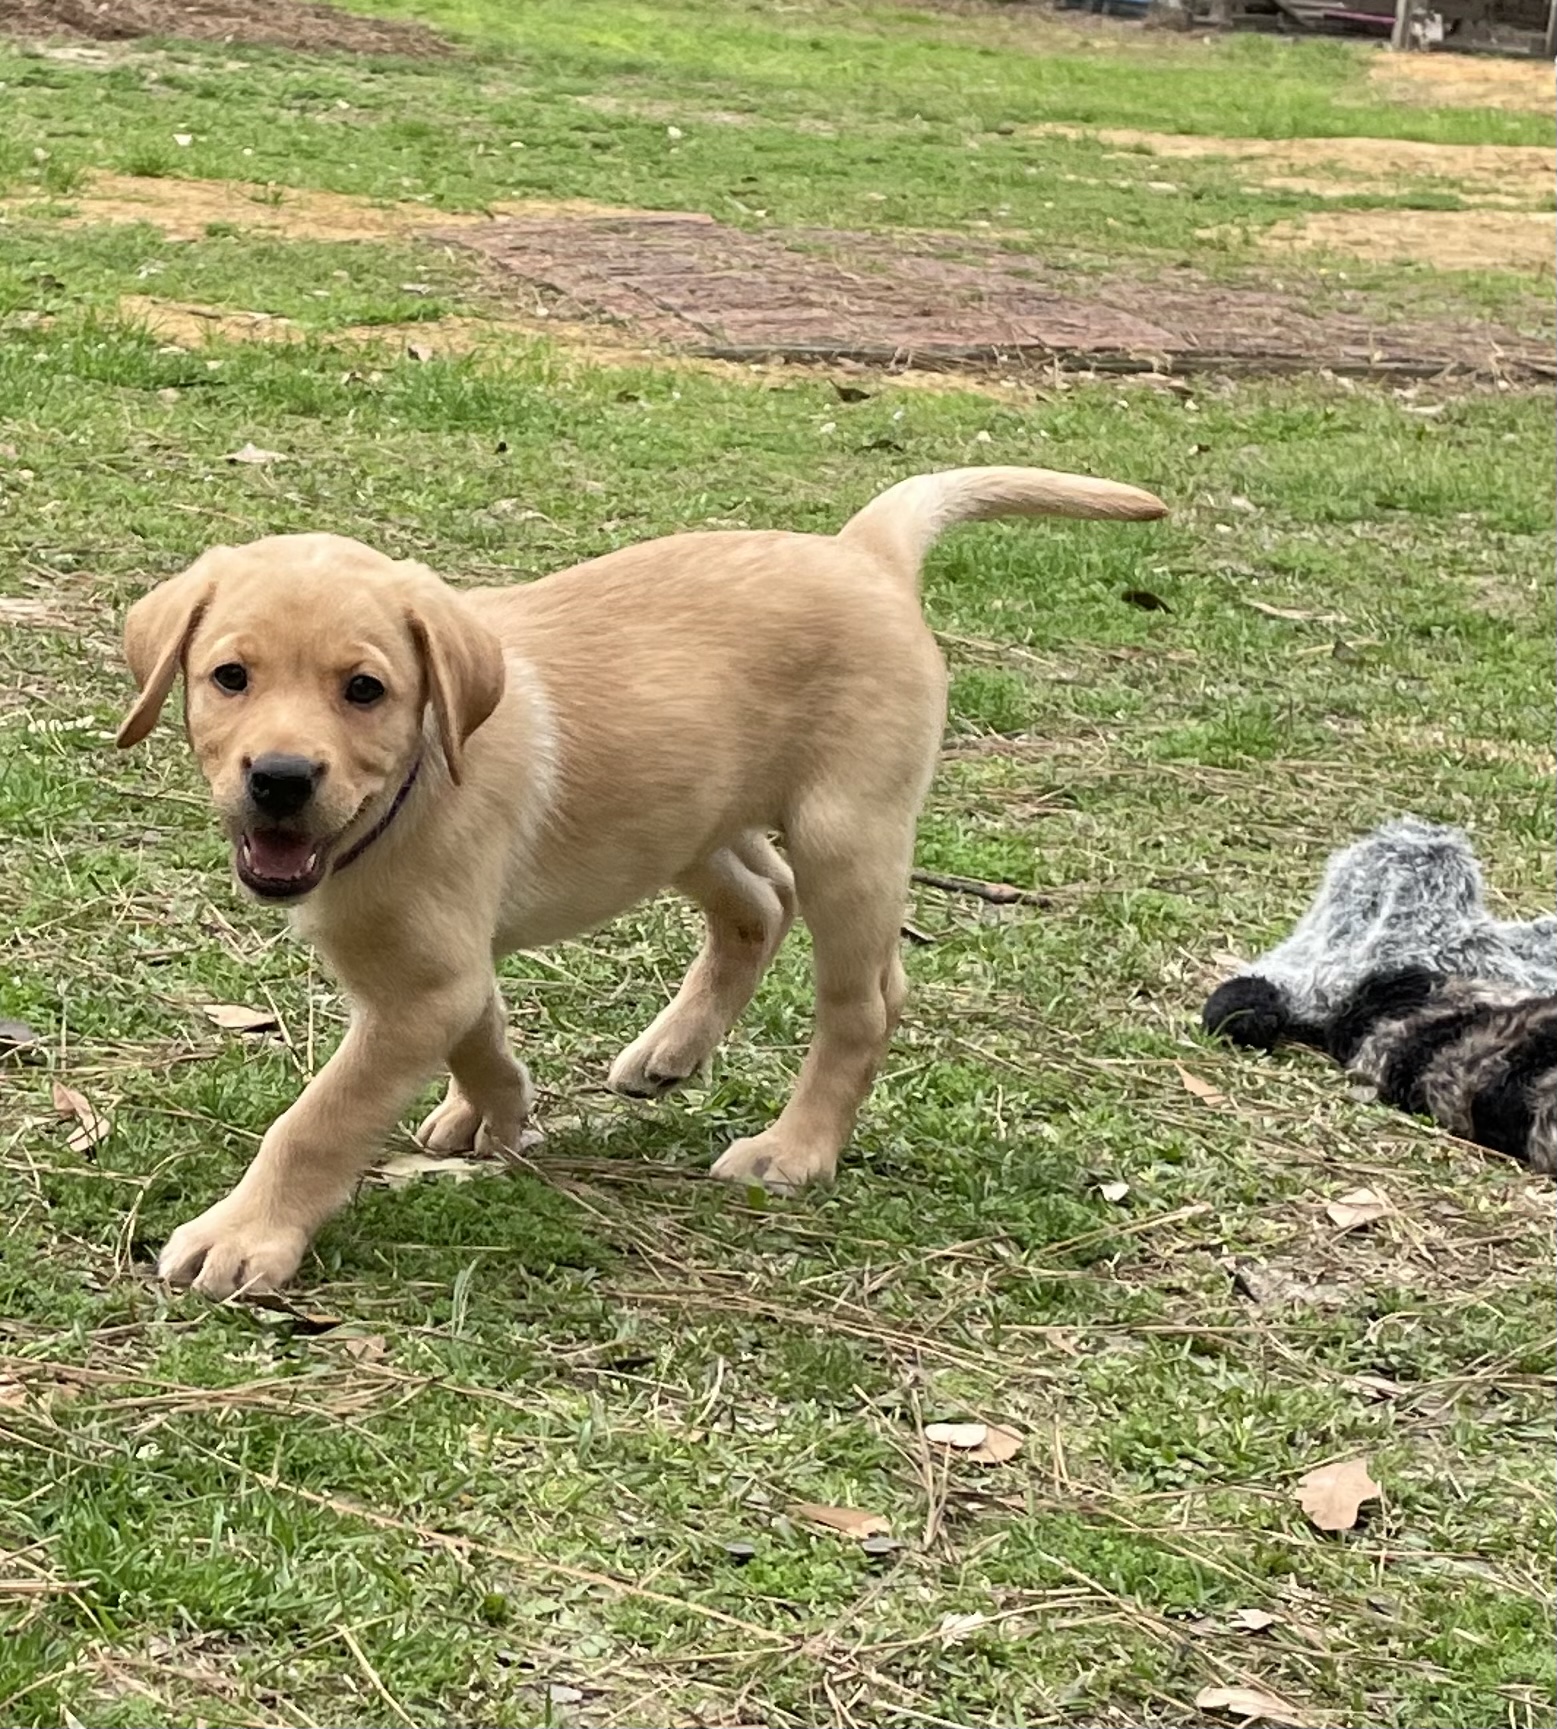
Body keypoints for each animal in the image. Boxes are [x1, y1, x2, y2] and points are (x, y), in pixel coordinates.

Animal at [121, 466, 1161, 1293]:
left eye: (364, 690)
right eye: (230, 676)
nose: (280, 778)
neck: (407, 789)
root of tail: (860, 551)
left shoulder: (423, 982)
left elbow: (320, 1117)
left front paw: (244, 1235)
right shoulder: (443, 967)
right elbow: (482, 1036)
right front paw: (496, 1111)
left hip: (846, 833)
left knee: (862, 1002)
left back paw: (794, 1149)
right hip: (689, 819)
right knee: (760, 900)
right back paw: (671, 1049)